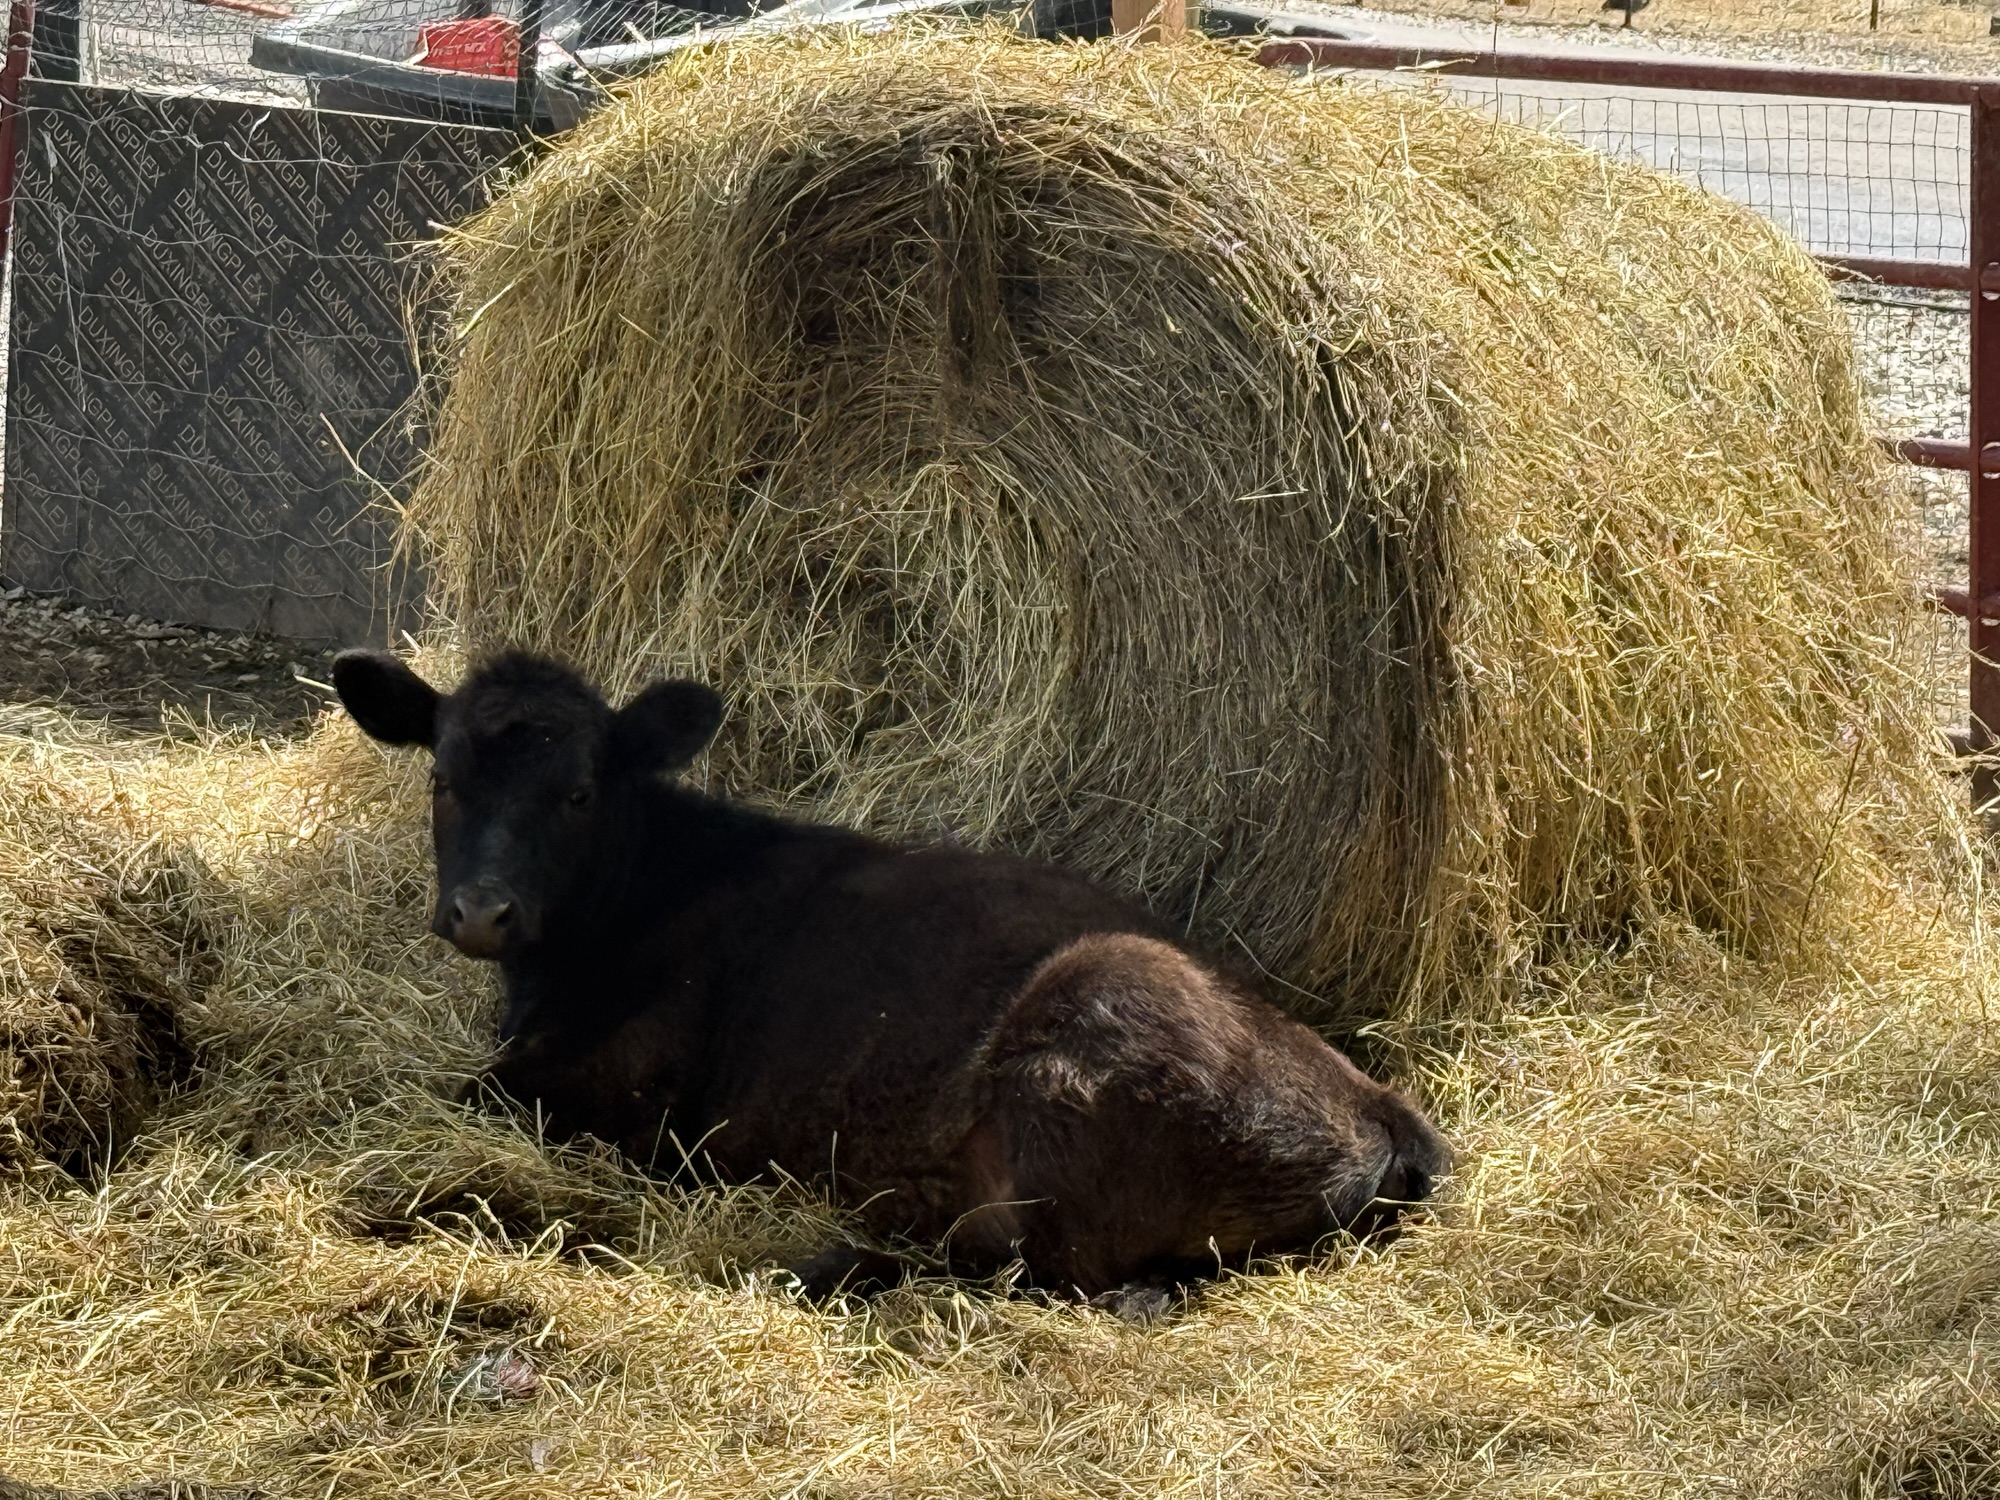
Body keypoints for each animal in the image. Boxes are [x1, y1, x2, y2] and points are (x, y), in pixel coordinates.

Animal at [331, 648, 1450, 1302]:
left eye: (576, 793)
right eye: (440, 778)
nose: (482, 911)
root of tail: (1381, 1106)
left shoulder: (621, 1092)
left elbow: (454, 1099)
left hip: (1088, 1032)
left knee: (1032, 1264)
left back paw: (810, 1264)